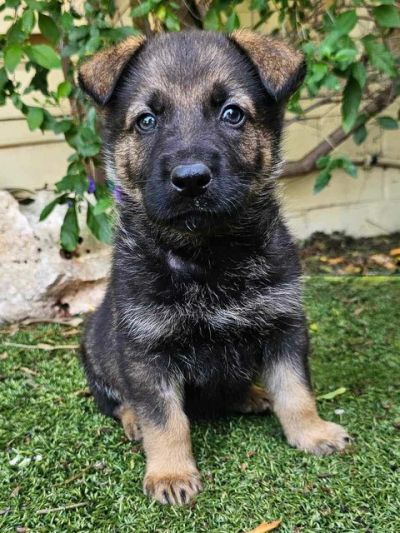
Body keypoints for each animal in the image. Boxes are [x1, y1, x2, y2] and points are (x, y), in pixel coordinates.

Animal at [79, 30, 350, 505]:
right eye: (146, 120)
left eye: (232, 114)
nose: (190, 179)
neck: (206, 256)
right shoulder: (146, 349)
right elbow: (164, 418)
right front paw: (170, 472)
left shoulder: (285, 326)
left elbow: (296, 390)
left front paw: (312, 432)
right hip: (95, 348)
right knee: (118, 401)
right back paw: (132, 420)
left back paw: (252, 395)